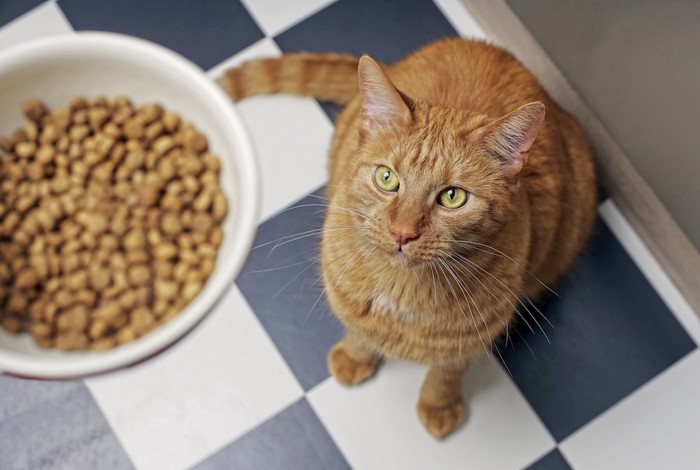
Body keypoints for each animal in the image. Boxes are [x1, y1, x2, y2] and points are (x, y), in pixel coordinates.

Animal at [223, 38, 596, 438]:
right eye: (387, 178)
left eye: (453, 197)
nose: (402, 232)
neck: (401, 291)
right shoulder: (349, 299)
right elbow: (360, 332)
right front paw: (355, 357)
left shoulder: (469, 338)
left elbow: (447, 373)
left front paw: (438, 405)